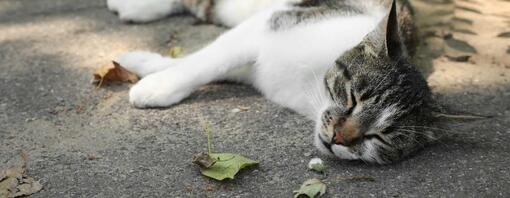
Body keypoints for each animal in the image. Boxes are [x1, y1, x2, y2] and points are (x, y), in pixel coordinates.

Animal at [107, 0, 434, 164]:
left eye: (379, 137)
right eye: (353, 98)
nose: (338, 138)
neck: (310, 91)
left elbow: (207, 61)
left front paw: (143, 64)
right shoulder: (271, 22)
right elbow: (206, 61)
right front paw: (157, 85)